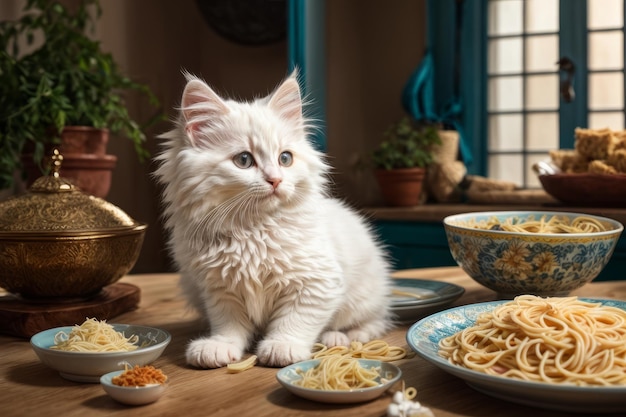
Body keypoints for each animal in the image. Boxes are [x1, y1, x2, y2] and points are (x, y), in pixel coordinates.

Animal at [155, 72, 390, 368]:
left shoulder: (317, 282)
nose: (276, 180)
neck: (252, 230)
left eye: (285, 158)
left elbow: (295, 320)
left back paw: (339, 337)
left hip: (365, 296)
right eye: (244, 160)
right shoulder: (218, 289)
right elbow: (228, 325)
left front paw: (282, 346)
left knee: (374, 322)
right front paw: (220, 346)